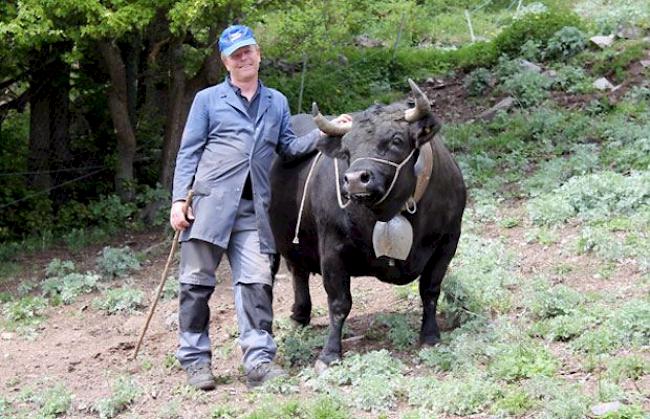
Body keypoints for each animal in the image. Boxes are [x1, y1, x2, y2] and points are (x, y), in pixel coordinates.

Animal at [268, 80, 466, 370]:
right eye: (347, 150)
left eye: (396, 139)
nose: (354, 180)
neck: (394, 212)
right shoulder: (332, 249)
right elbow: (339, 303)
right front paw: (329, 354)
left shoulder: (448, 241)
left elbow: (430, 290)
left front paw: (430, 335)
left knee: (298, 269)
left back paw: (300, 314)